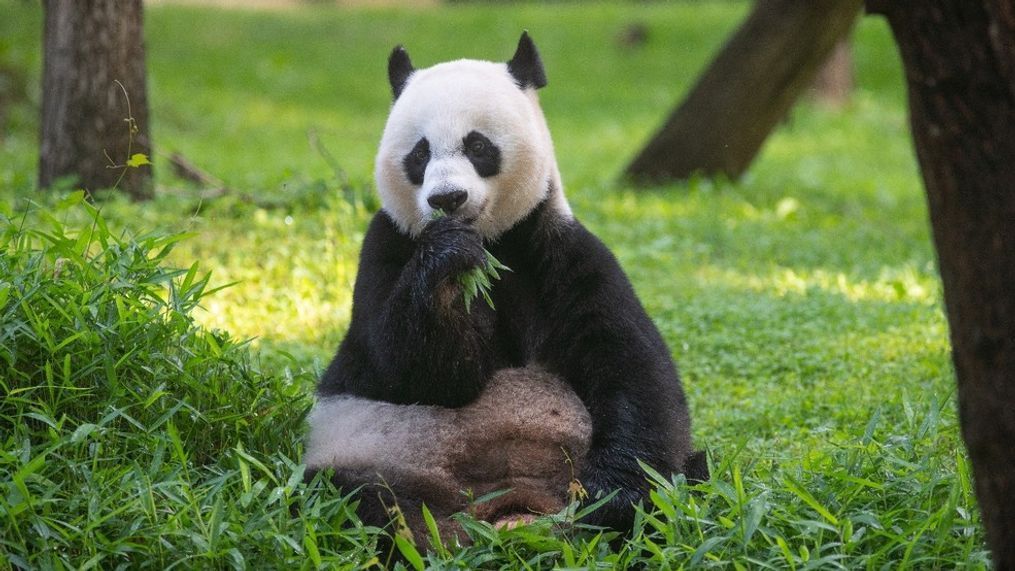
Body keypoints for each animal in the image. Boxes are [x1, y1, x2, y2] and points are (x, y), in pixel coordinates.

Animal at [308, 32, 706, 543]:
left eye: (478, 145)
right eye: (419, 154)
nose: (447, 199)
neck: (494, 240)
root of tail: (512, 506)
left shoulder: (560, 251)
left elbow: (631, 367)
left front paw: (613, 499)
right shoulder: (386, 245)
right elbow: (415, 371)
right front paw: (450, 263)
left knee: (693, 473)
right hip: (372, 456)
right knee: (358, 501)